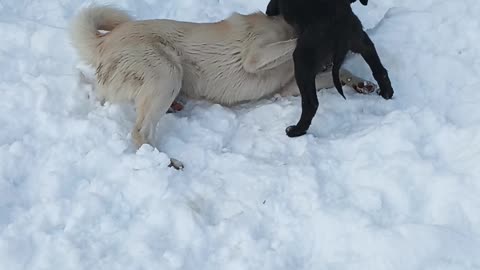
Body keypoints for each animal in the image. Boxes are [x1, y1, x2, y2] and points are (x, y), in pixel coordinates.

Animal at [70, 5, 376, 167]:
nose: (359, 31)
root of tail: (103, 43)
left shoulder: (289, 87)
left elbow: (344, 72)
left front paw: (363, 84)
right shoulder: (256, 56)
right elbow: (291, 44)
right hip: (168, 73)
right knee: (140, 132)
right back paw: (167, 161)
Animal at [266, 0, 394, 137]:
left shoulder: (274, 4)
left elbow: (269, 9)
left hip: (302, 60)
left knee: (311, 103)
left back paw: (296, 130)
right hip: (362, 41)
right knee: (380, 70)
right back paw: (387, 93)